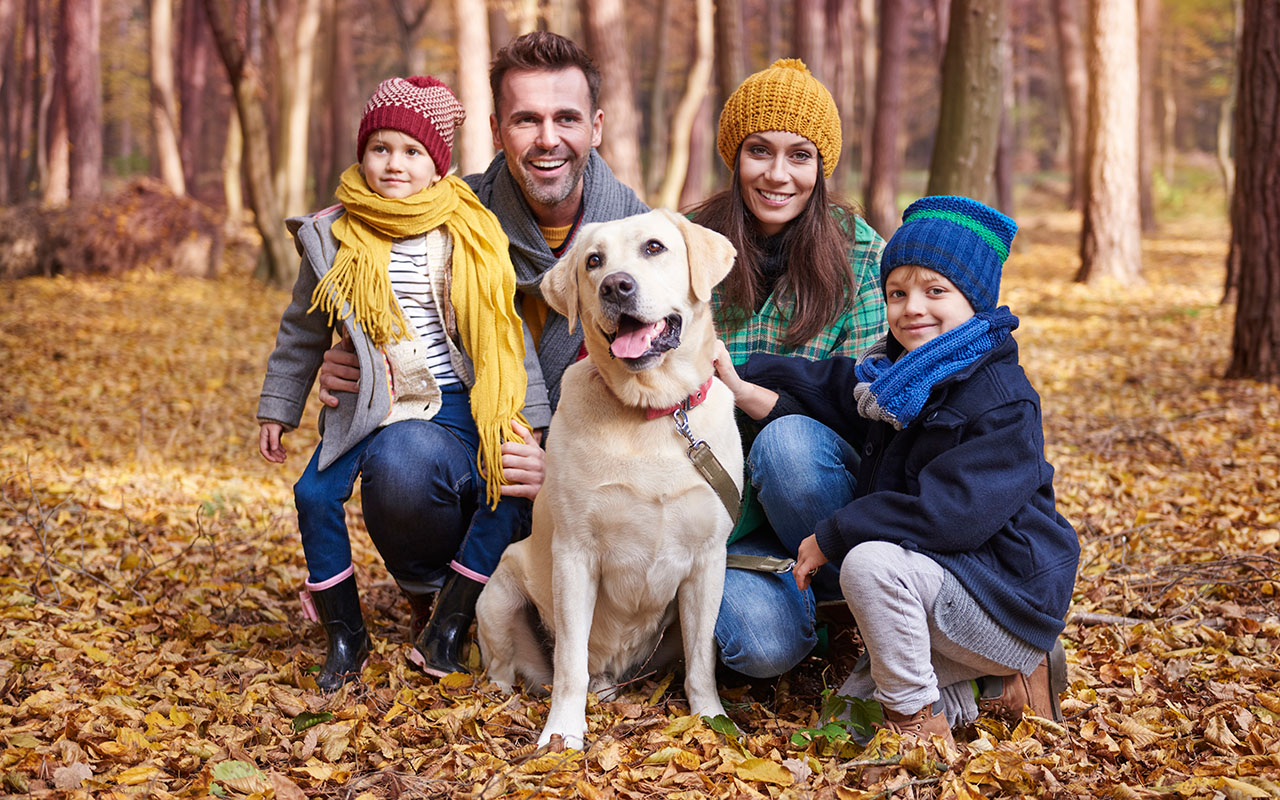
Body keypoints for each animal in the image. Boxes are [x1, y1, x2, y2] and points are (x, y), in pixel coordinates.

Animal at [478, 207, 742, 747]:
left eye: (654, 247)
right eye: (593, 261)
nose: (616, 286)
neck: (652, 411)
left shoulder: (709, 560)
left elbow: (702, 660)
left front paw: (711, 719)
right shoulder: (575, 554)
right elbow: (569, 663)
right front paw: (562, 734)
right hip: (496, 594)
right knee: (510, 667)